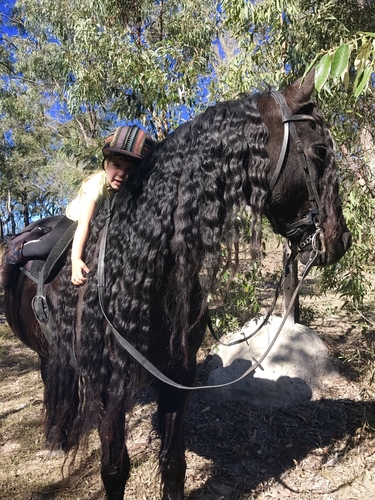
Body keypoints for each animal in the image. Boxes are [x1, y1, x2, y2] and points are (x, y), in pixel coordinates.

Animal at [4, 71, 352, 500]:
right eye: (319, 152)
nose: (342, 239)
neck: (141, 269)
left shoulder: (178, 377)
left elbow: (174, 465)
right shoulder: (108, 388)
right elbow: (114, 468)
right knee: (52, 376)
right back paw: (56, 439)